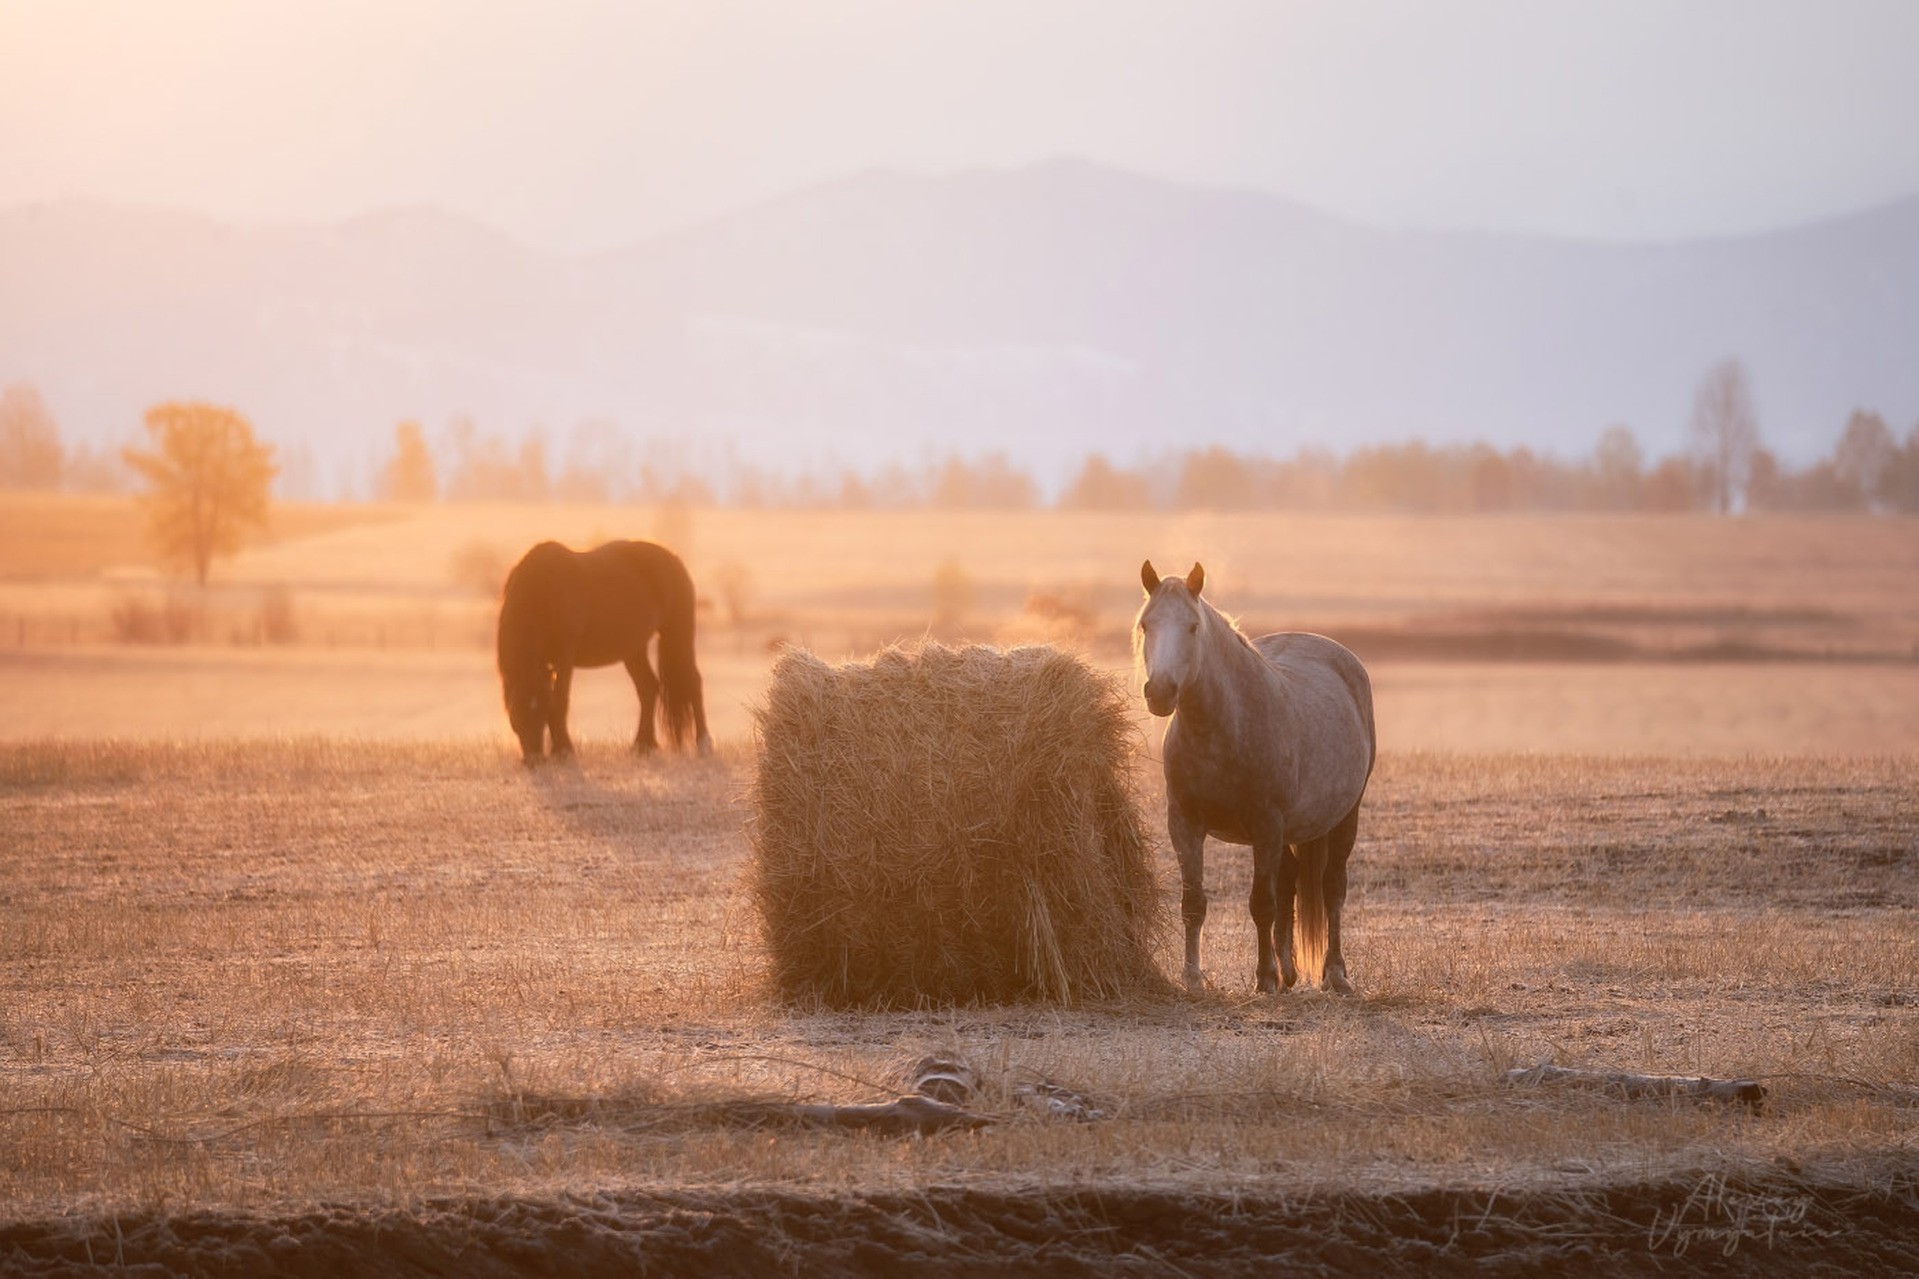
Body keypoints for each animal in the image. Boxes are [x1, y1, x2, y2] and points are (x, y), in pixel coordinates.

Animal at [495, 533, 713, 756]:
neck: (543, 590)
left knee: (693, 682)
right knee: (648, 687)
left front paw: (564, 750)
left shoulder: (565, 657)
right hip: (633, 649)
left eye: (541, 710)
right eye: (514, 713)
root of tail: (674, 559)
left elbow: (561, 701)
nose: (535, 758)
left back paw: (703, 744)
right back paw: (643, 744)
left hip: (677, 635)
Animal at [1128, 564, 1374, 990]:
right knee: (1290, 880)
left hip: (1344, 818)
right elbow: (1193, 903)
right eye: (1146, 624)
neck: (1222, 728)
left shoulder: (1266, 825)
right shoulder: (1185, 825)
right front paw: (1193, 978)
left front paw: (1264, 978)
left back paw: (1334, 974)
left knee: (1332, 889)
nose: (1159, 692)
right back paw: (1289, 970)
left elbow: (1262, 903)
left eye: (1192, 626)